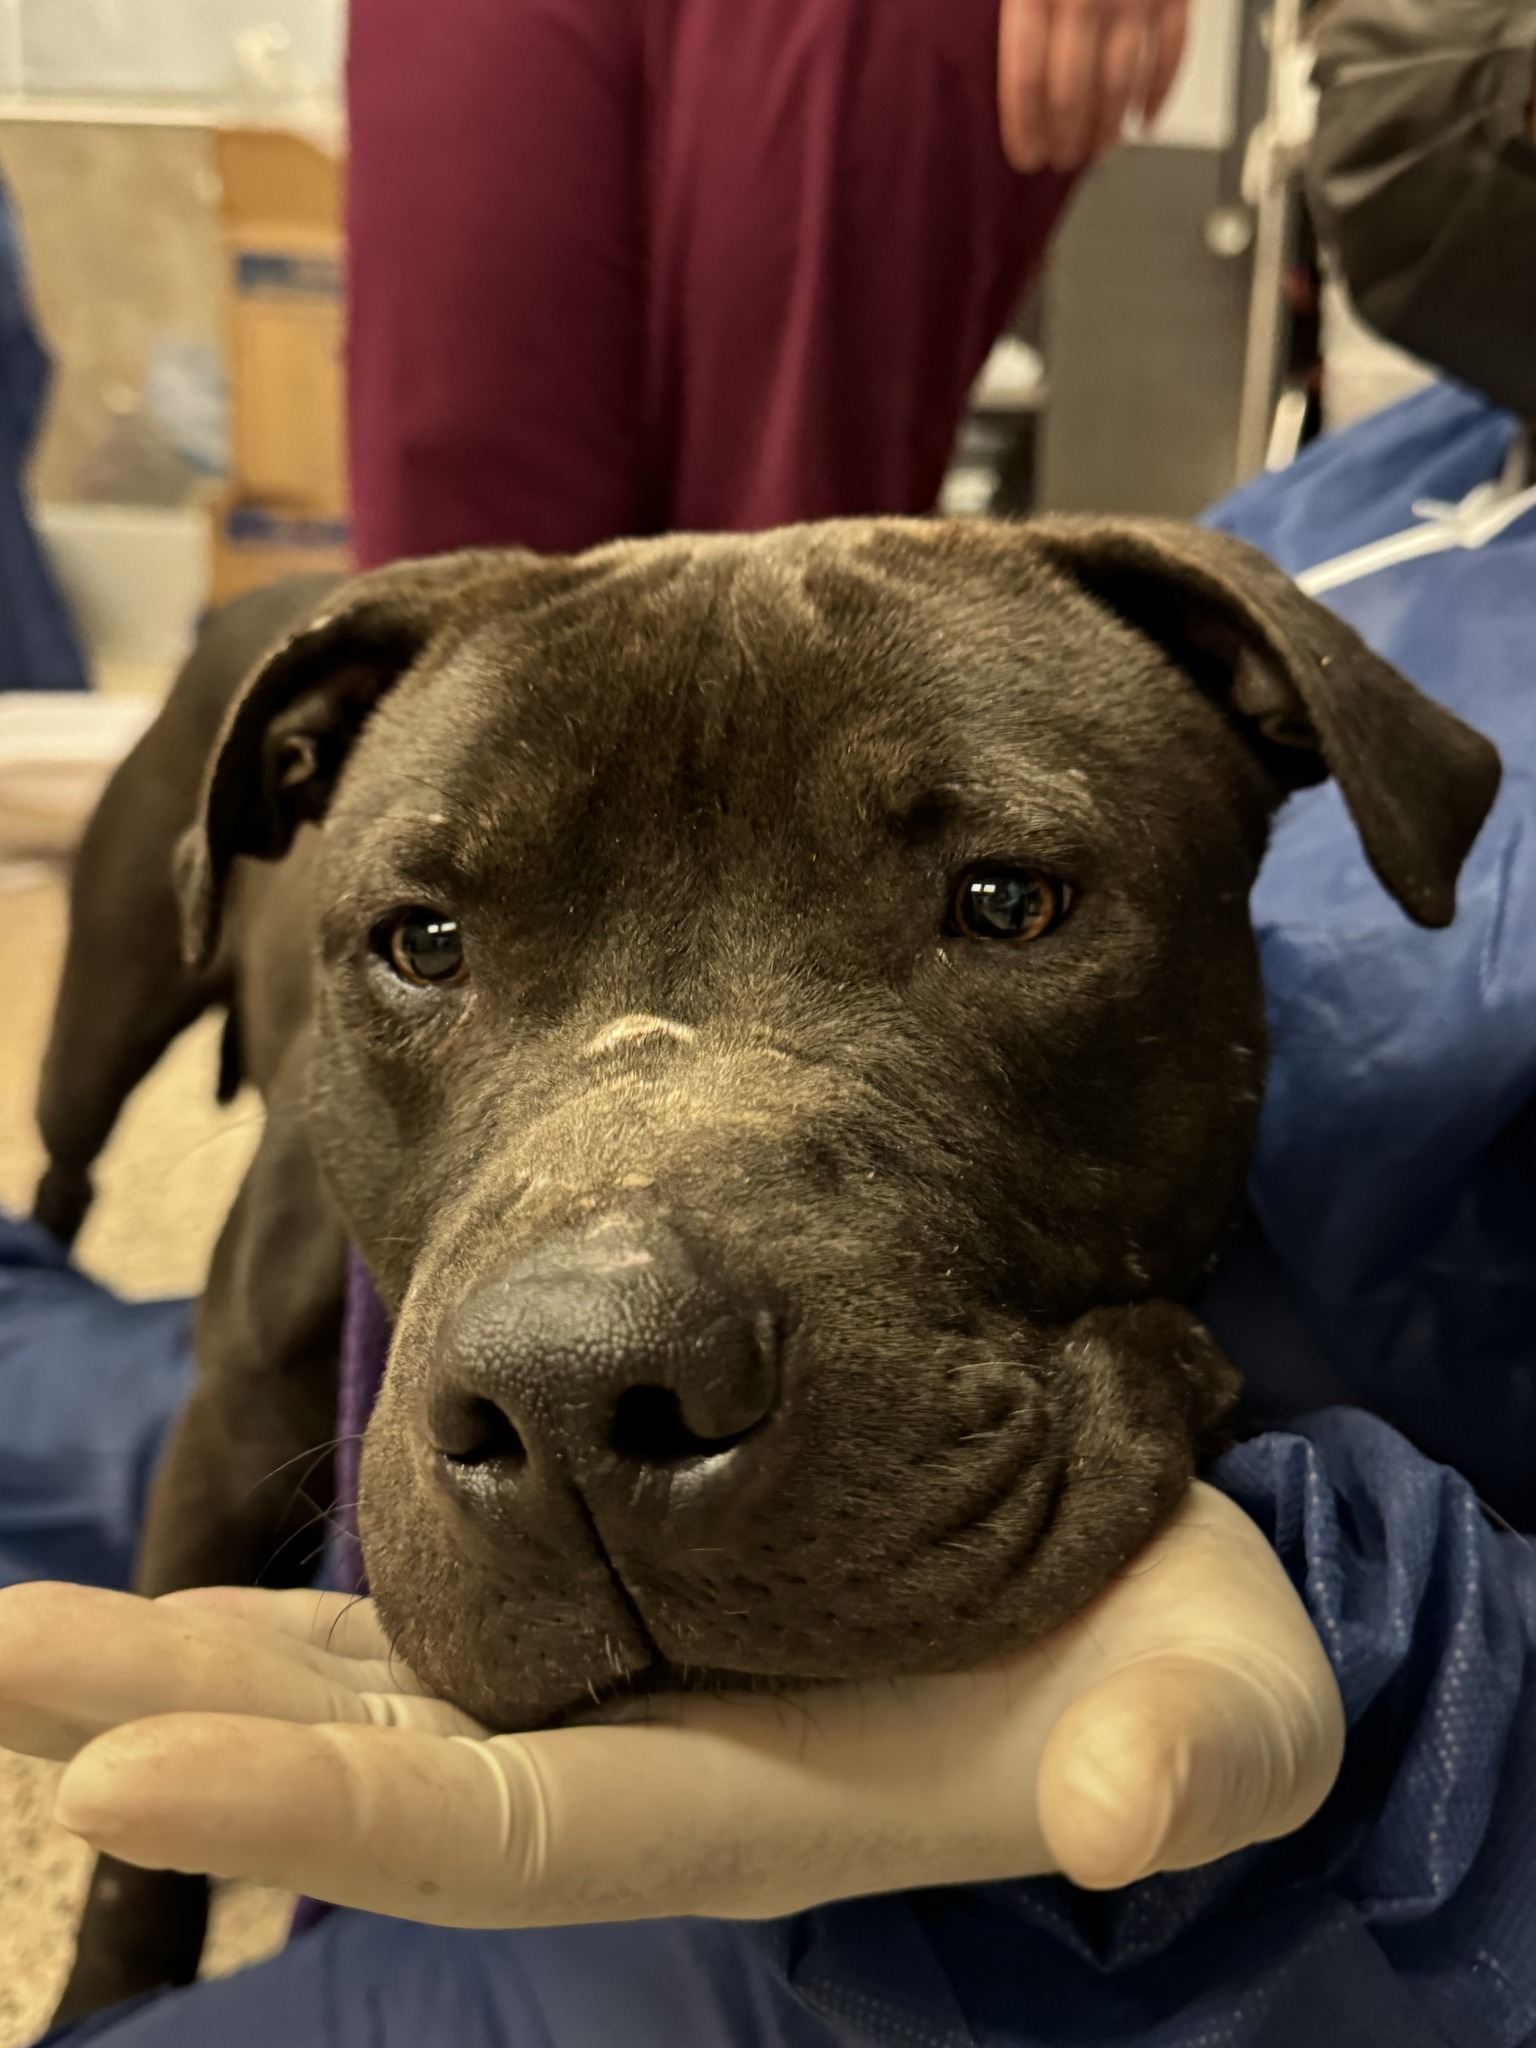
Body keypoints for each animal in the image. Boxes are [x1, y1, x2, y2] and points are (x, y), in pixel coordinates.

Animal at [33, 516, 1507, 2015]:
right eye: (423, 941)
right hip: (98, 1017)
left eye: (1007, 900)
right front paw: (107, 1990)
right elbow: (136, 1852)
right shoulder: (221, 1445)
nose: (575, 1394)